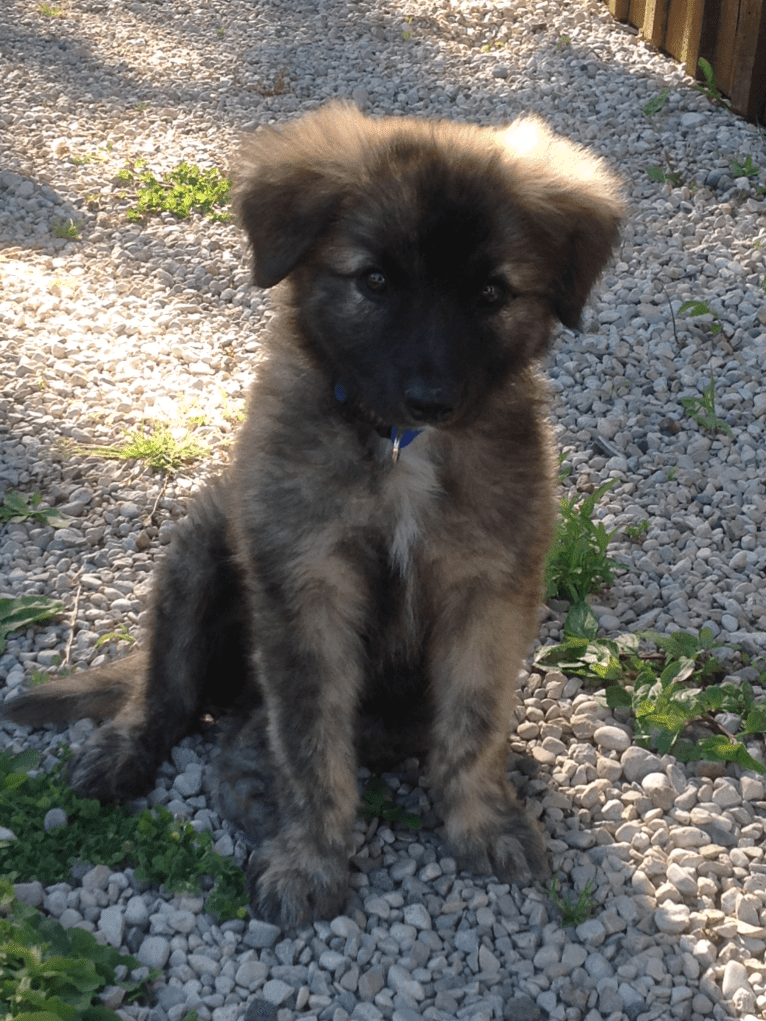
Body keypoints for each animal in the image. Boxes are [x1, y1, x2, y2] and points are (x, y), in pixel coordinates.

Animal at [4, 101, 625, 927]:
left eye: (492, 294)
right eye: (375, 280)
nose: (433, 399)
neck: (397, 447)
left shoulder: (489, 586)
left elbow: (475, 718)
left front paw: (483, 818)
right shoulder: (307, 586)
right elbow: (308, 742)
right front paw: (311, 856)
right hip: (200, 549)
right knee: (170, 693)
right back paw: (135, 751)